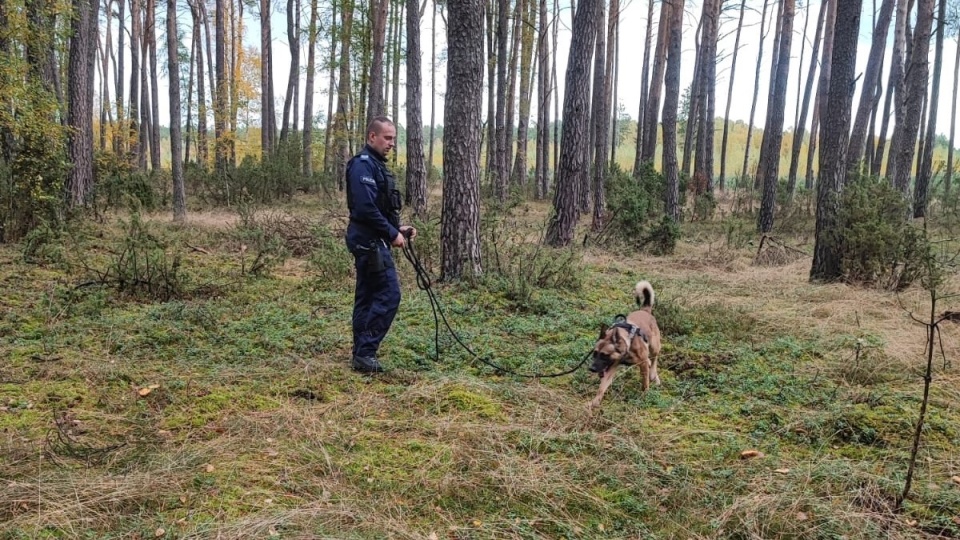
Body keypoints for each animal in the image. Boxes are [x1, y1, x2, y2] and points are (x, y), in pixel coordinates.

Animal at [584, 280, 660, 408]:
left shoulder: (642, 363)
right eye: (595, 353)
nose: (592, 369)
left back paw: (654, 374)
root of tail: (645, 310)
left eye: (604, 355)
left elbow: (645, 382)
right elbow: (602, 387)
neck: (627, 343)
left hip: (654, 346)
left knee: (654, 358)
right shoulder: (611, 368)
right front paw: (594, 402)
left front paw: (645, 395)